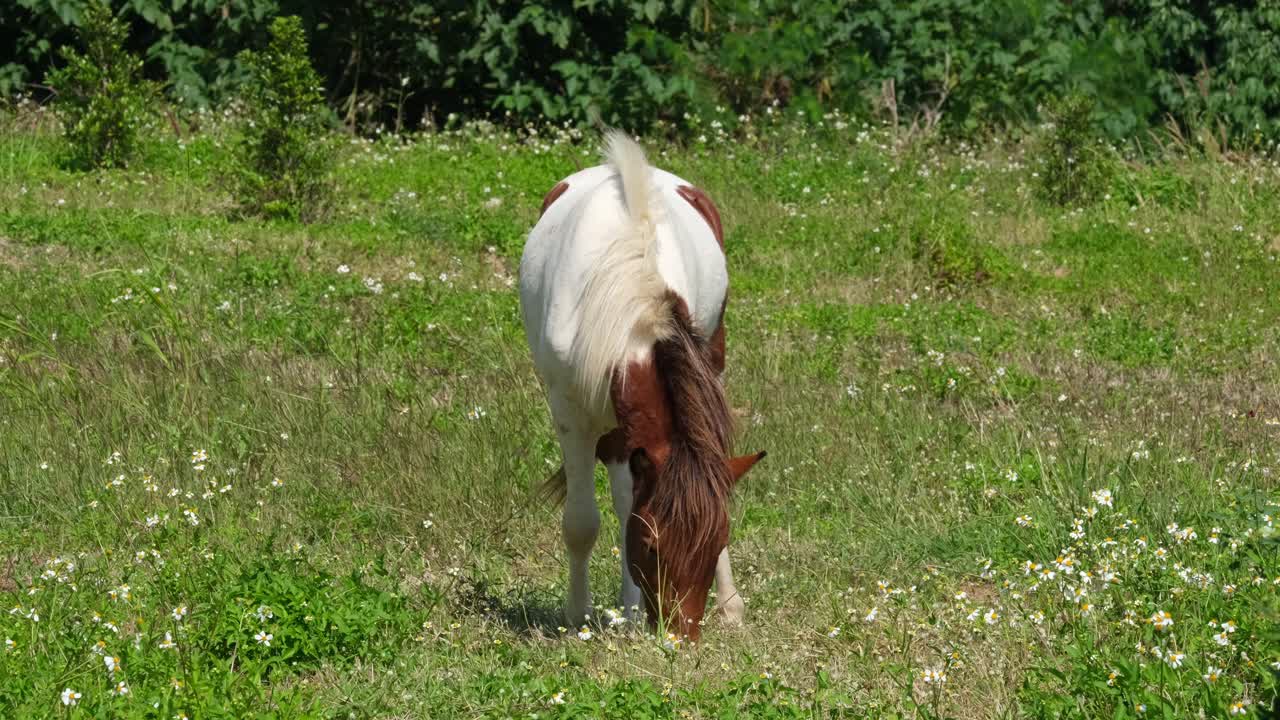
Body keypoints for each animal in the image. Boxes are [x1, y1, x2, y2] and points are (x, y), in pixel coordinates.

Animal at [519, 131, 765, 641]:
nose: (681, 635)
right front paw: (577, 617)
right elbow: (582, 522)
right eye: (650, 542)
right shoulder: (572, 416)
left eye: (719, 538)